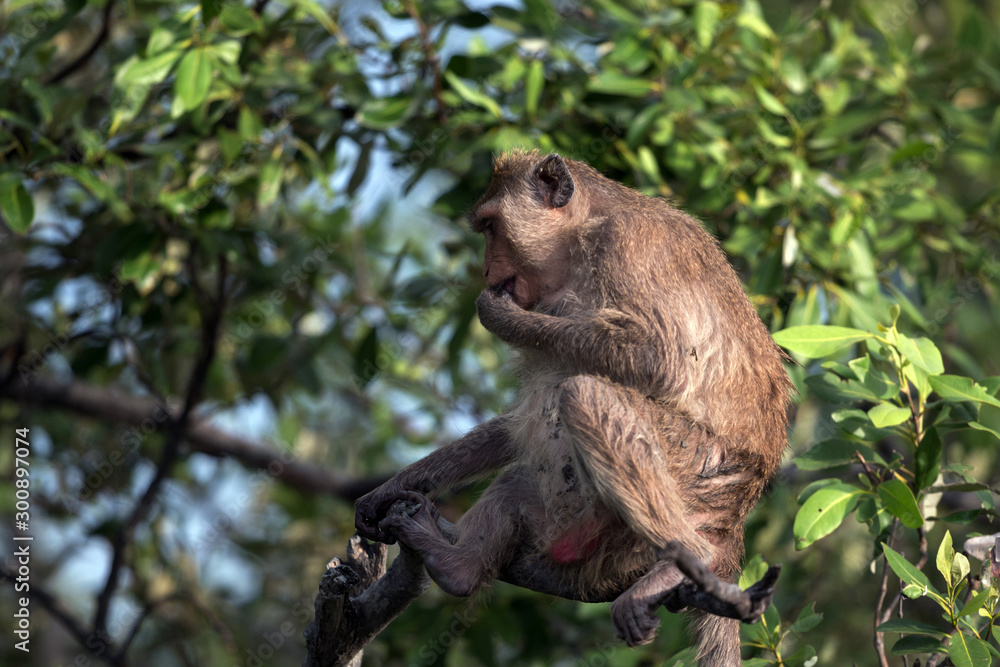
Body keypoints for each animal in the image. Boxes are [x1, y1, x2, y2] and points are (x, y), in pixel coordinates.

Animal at [355, 150, 792, 665]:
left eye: (490, 227)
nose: (485, 274)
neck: (584, 237)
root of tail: (733, 522)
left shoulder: (629, 245)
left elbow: (661, 360)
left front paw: (500, 315)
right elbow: (514, 427)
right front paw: (391, 488)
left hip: (697, 470)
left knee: (586, 395)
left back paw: (686, 558)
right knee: (521, 482)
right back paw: (456, 567)